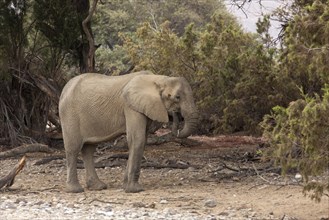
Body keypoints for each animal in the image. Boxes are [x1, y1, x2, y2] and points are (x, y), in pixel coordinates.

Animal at [58, 70, 197, 192]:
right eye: (177, 97)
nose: (175, 115)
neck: (159, 79)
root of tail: (64, 89)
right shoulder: (130, 106)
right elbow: (137, 139)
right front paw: (135, 190)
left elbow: (142, 140)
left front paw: (126, 186)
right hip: (69, 114)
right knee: (73, 148)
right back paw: (75, 190)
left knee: (88, 149)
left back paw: (98, 187)